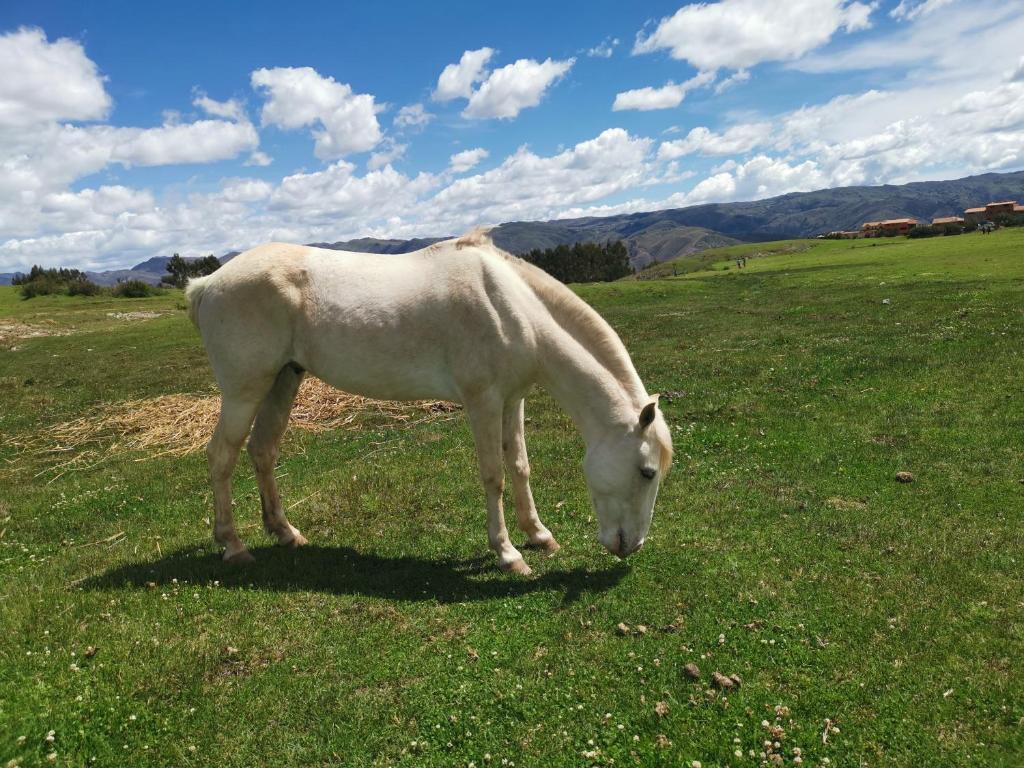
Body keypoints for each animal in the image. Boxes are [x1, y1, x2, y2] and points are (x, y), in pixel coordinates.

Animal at [185, 229, 672, 575]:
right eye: (647, 472)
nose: (630, 547)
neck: (511, 305)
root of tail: (206, 284)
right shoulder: (483, 401)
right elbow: (493, 475)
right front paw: (508, 553)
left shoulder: (512, 400)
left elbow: (519, 466)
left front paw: (539, 535)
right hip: (244, 391)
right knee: (221, 456)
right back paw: (233, 545)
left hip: (283, 381)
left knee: (262, 451)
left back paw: (285, 533)